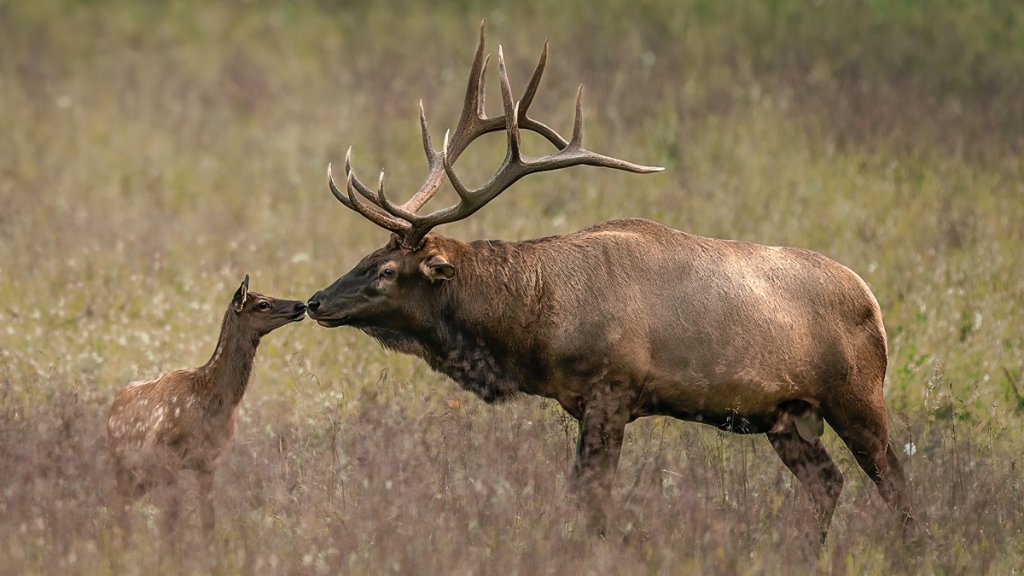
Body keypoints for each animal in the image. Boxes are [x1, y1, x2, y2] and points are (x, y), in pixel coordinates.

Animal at [110, 272, 307, 532]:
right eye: (263, 304)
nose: (301, 305)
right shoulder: (168, 457)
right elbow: (171, 523)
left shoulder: (208, 462)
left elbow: (207, 522)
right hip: (123, 464)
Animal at [307, 23, 917, 541]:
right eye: (365, 255)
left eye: (387, 271)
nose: (315, 301)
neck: (534, 324)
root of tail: (874, 302)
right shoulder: (582, 401)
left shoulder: (613, 390)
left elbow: (594, 498)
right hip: (785, 416)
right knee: (828, 484)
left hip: (857, 395)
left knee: (896, 484)